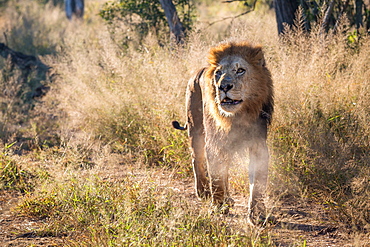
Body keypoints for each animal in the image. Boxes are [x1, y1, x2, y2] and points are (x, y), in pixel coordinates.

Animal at [172, 41, 274, 223]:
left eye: (240, 70)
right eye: (218, 73)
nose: (223, 86)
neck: (237, 117)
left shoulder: (258, 145)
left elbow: (257, 181)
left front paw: (257, 214)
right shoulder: (214, 143)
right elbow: (216, 178)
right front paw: (217, 206)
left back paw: (228, 199)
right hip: (195, 129)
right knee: (196, 159)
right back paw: (203, 192)